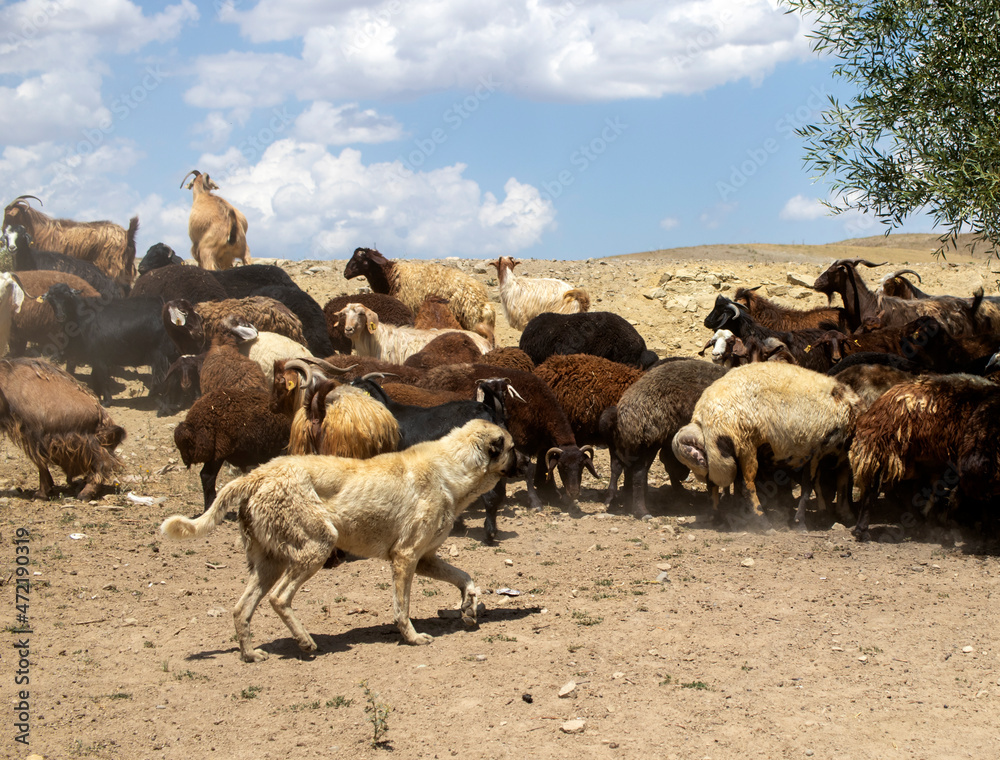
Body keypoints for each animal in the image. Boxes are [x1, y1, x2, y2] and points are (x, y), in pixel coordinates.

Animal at [0, 357, 125, 499]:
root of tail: (99, 414)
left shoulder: (34, 434)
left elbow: (40, 463)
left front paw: (41, 493)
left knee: (104, 461)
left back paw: (85, 493)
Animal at [2, 195, 138, 290]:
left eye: (8, 215)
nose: (2, 231)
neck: (39, 230)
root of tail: (128, 233)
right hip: (127, 268)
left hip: (110, 266)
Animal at [42, 283, 178, 403]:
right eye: (51, 299)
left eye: (67, 297)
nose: (60, 316)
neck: (80, 318)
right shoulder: (93, 359)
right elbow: (95, 378)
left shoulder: (99, 357)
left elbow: (102, 378)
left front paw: (106, 401)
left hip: (162, 352)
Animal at [603, 359, 728, 517]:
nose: (682, 476)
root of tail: (624, 413)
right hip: (647, 445)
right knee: (638, 473)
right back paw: (642, 511)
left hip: (630, 447)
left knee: (622, 468)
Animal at [672, 362, 863, 529]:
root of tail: (706, 412)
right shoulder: (815, 451)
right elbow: (809, 487)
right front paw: (800, 522)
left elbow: (819, 484)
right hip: (745, 445)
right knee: (747, 486)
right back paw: (763, 522)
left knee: (715, 485)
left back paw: (717, 517)